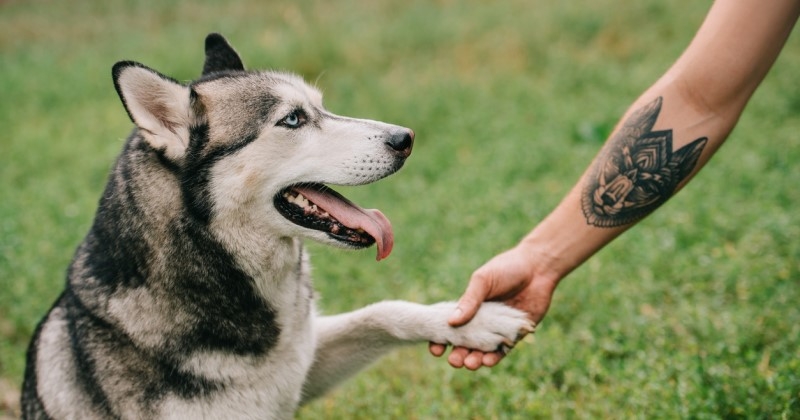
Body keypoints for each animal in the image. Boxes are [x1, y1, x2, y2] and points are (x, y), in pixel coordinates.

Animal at [21, 34, 536, 418]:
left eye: (321, 108)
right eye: (292, 120)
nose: (404, 138)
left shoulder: (301, 366)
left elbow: (382, 311)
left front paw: (471, 320)